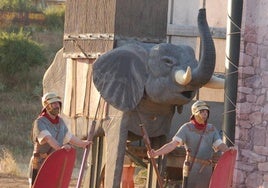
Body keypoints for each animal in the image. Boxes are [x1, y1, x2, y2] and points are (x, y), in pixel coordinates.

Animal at [92, 8, 224, 187]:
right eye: (167, 62)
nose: (202, 10)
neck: (147, 49)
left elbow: (164, 144)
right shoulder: (119, 105)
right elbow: (117, 143)